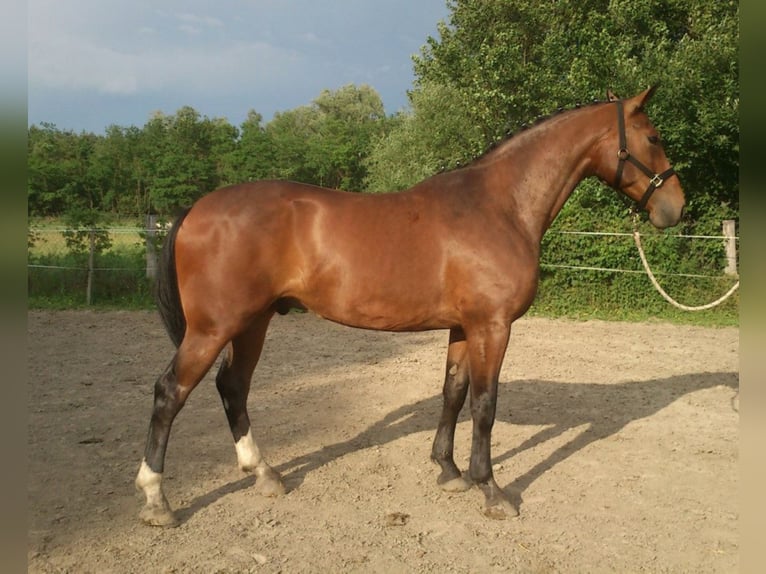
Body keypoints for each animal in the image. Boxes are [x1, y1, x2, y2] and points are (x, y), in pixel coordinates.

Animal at [135, 86, 685, 526]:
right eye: (654, 137)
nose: (676, 207)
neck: (499, 206)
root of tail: (196, 208)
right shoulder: (492, 326)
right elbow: (484, 405)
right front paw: (492, 490)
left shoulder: (464, 327)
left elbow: (453, 393)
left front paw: (449, 470)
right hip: (214, 327)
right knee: (170, 392)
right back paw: (158, 501)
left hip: (253, 323)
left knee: (233, 387)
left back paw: (265, 475)